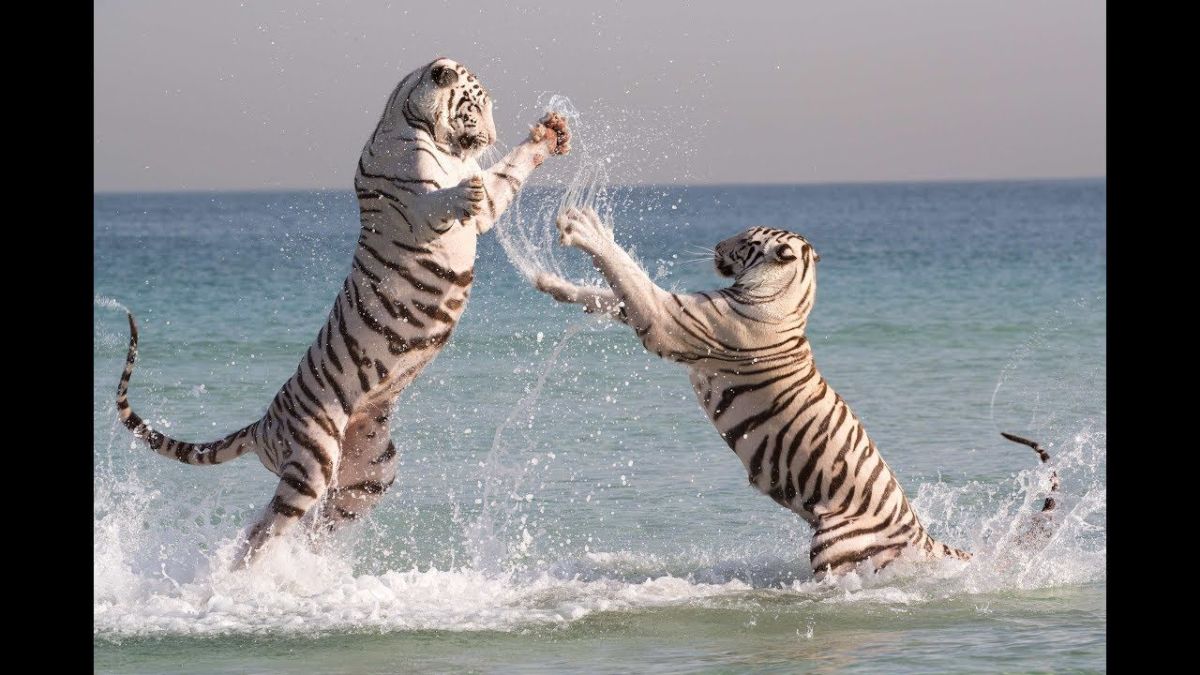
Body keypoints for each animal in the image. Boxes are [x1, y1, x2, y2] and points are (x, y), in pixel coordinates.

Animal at [116, 57, 571, 566]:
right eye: (475, 108)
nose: (491, 136)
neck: (420, 126)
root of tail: (263, 423)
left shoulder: (489, 206)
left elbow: (507, 176)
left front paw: (550, 134)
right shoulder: (417, 208)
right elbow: (444, 198)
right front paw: (465, 189)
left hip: (371, 474)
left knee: (314, 525)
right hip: (311, 463)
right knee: (261, 534)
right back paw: (240, 576)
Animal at [534, 207, 1056, 576]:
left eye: (745, 242)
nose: (716, 245)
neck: (789, 293)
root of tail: (922, 534)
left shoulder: (669, 320)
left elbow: (627, 273)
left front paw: (584, 226)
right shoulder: (663, 316)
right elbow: (608, 293)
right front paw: (552, 283)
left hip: (832, 543)